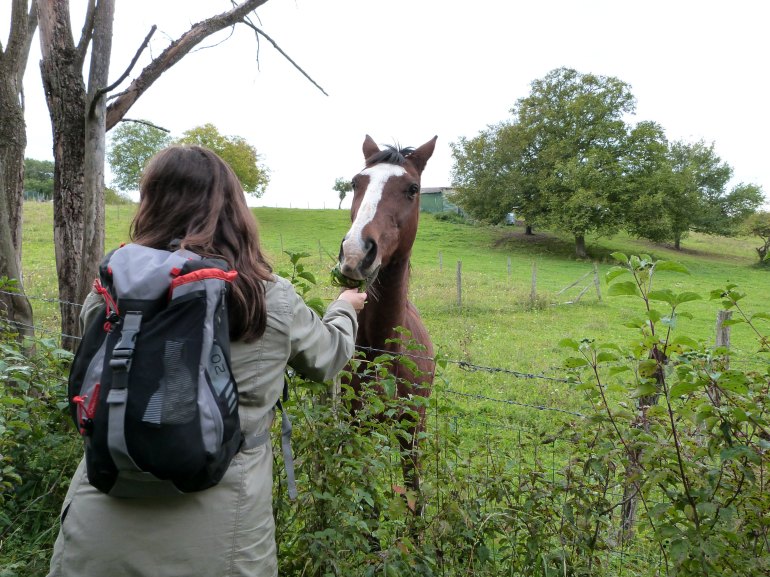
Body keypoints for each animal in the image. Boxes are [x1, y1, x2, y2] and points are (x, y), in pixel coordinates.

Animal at [337, 134, 437, 504]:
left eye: (412, 189)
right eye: (356, 183)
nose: (355, 253)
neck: (383, 349)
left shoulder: (412, 430)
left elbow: (415, 495)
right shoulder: (355, 424)